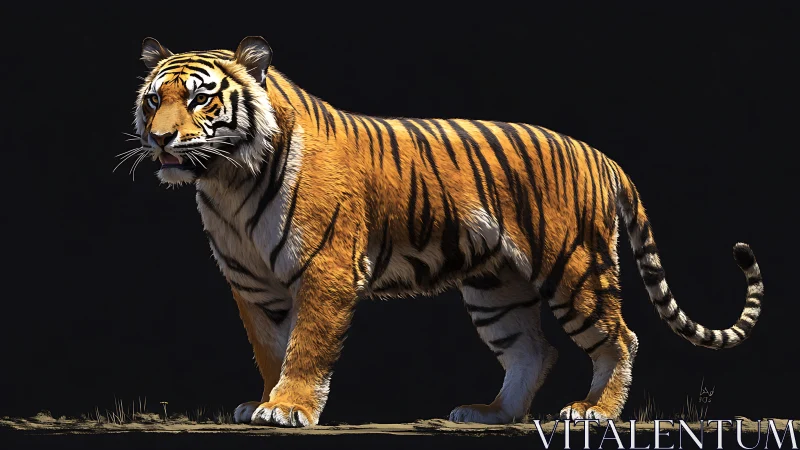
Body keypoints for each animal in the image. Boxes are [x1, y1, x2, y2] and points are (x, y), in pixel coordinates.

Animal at [126, 36, 764, 427]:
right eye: (154, 99)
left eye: (202, 98)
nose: (159, 138)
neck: (227, 183)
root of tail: (602, 157)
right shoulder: (252, 286)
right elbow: (267, 349)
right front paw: (263, 400)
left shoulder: (326, 271)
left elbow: (306, 347)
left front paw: (288, 408)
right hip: (496, 288)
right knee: (532, 349)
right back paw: (491, 414)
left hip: (575, 269)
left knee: (620, 337)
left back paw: (594, 412)